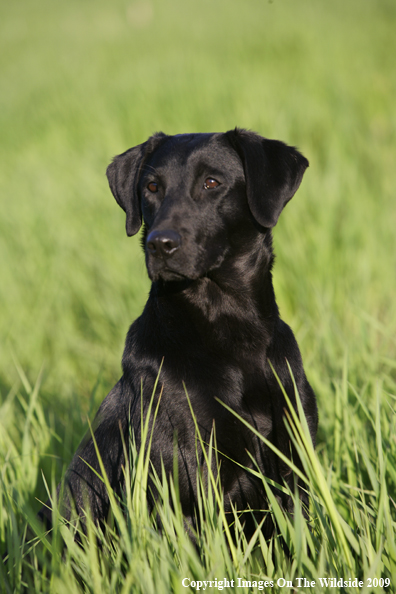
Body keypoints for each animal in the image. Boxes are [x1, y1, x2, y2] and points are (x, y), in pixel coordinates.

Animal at [38, 128, 318, 536]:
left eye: (212, 182)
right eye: (152, 186)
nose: (160, 243)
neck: (232, 333)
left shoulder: (294, 461)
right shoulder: (186, 483)